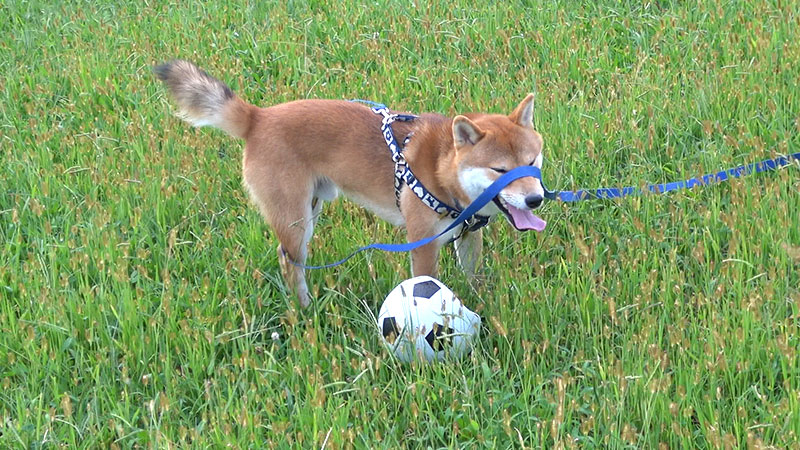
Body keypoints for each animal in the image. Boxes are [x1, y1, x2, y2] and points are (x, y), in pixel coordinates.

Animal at [154, 59, 548, 306]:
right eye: (500, 170)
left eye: (531, 163)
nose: (536, 200)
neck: (441, 169)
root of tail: (258, 118)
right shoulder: (422, 243)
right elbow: (426, 286)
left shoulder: (468, 237)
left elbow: (474, 279)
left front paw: (480, 305)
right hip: (296, 221)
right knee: (289, 262)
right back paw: (304, 311)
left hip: (310, 212)